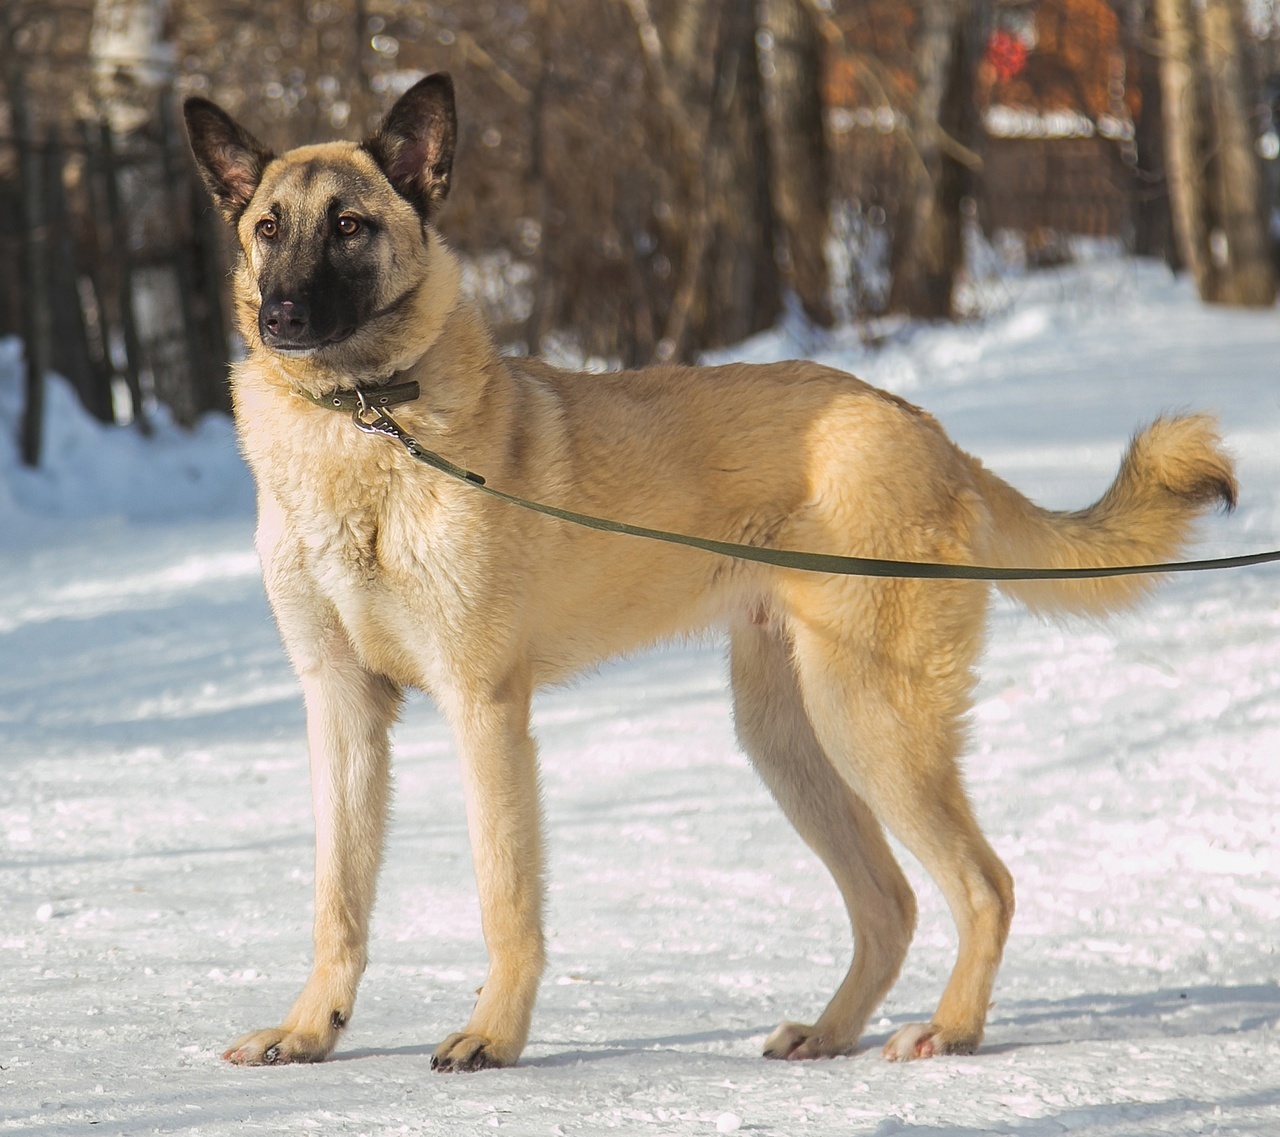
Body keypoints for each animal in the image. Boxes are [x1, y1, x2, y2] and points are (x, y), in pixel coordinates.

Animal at [185, 75, 1233, 1070]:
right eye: (268, 228)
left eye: (350, 226)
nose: (281, 316)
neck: (360, 422)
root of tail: (925, 428)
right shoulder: (342, 707)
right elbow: (338, 898)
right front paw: (308, 1030)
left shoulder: (485, 706)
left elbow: (504, 895)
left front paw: (493, 1036)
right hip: (789, 737)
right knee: (891, 901)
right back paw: (829, 1033)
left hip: (867, 720)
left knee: (985, 884)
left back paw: (950, 1029)